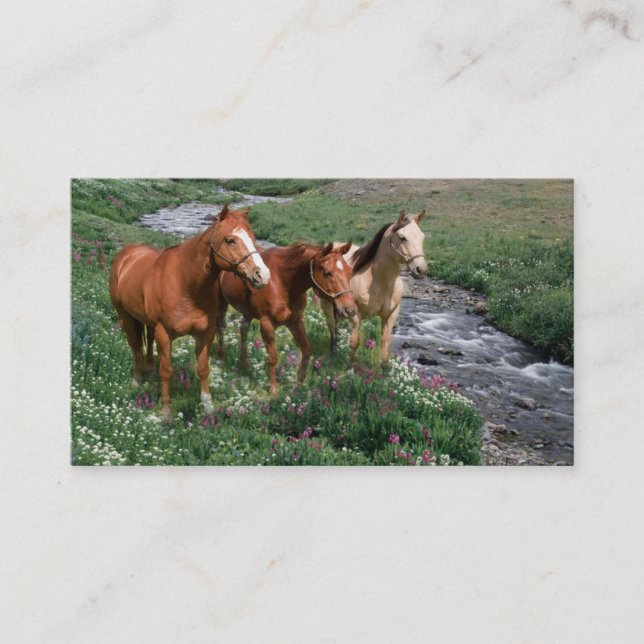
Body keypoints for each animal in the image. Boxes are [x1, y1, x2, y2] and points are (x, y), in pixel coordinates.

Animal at [109, 204, 271, 419]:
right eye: (230, 240)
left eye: (252, 238)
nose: (262, 275)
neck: (185, 283)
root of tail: (125, 255)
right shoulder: (164, 334)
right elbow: (166, 371)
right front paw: (166, 411)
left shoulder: (206, 332)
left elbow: (203, 368)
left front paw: (207, 405)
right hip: (125, 317)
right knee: (134, 345)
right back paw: (137, 378)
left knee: (147, 340)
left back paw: (149, 370)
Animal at [215, 242, 356, 395]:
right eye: (327, 273)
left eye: (349, 271)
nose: (350, 310)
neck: (280, 281)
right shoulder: (267, 324)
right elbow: (273, 358)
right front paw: (273, 390)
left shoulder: (295, 320)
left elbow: (307, 350)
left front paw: (300, 383)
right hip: (221, 303)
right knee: (220, 327)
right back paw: (220, 360)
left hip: (247, 312)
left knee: (243, 330)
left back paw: (245, 364)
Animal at [320, 210, 427, 364]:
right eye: (402, 237)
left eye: (422, 237)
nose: (421, 269)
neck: (378, 282)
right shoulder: (355, 315)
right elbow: (355, 342)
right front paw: (350, 365)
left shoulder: (391, 315)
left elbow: (385, 343)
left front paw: (383, 368)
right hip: (327, 305)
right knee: (332, 327)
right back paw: (333, 352)